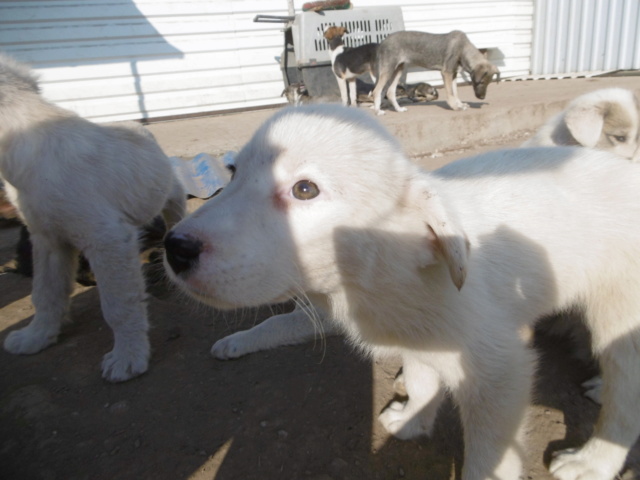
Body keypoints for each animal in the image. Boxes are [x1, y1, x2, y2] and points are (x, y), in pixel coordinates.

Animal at [0, 53, 185, 382]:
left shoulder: (107, 240)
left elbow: (118, 304)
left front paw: (128, 356)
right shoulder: (47, 240)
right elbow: (45, 293)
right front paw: (37, 336)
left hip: (168, 193)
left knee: (175, 212)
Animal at [164, 105, 640, 480]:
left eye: (304, 189)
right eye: (233, 173)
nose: (174, 247)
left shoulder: (500, 369)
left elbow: (489, 454)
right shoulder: (418, 336)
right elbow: (421, 377)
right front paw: (413, 418)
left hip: (622, 314)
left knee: (625, 396)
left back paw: (591, 461)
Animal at [370, 29, 500, 114]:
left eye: (488, 83)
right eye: (481, 82)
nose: (482, 98)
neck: (463, 48)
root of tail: (382, 42)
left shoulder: (453, 74)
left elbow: (455, 92)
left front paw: (460, 104)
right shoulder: (446, 73)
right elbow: (450, 93)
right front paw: (455, 107)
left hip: (398, 69)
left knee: (390, 92)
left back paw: (398, 109)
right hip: (388, 69)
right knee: (377, 91)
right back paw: (377, 111)